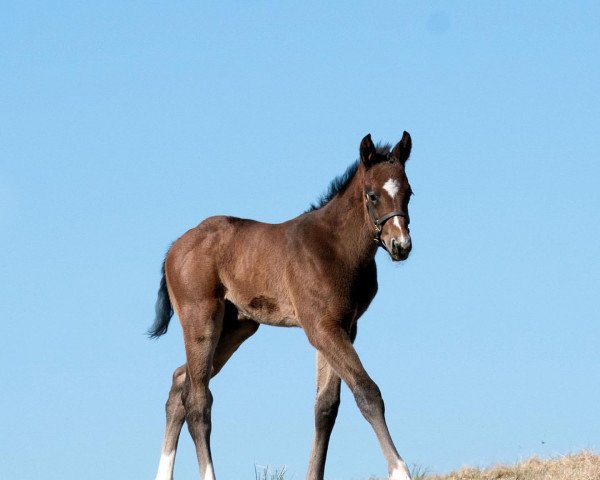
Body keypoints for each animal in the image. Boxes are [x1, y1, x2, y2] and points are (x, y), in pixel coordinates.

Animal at [149, 131, 418, 480]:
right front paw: (400, 470)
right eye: (372, 195)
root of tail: (174, 248)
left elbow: (325, 406)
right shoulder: (319, 327)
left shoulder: (344, 326)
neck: (336, 248)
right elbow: (366, 391)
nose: (401, 246)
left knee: (180, 383)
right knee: (197, 398)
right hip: (201, 317)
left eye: (409, 193)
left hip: (238, 326)